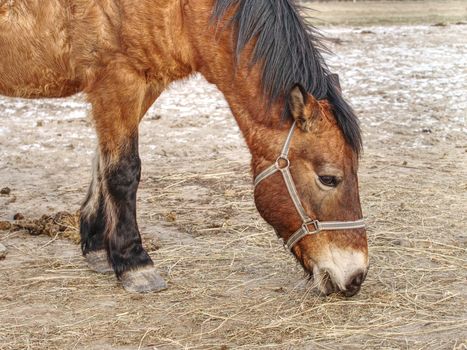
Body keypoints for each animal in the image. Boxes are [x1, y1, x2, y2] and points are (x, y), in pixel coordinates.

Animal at [1, 0, 372, 296]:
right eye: (329, 178)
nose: (355, 278)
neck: (183, 11)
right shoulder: (118, 82)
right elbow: (122, 171)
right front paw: (135, 265)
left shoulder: (142, 87)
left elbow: (101, 164)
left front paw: (96, 249)